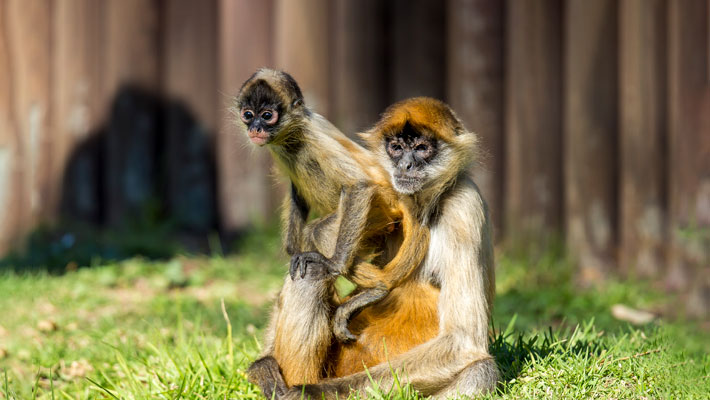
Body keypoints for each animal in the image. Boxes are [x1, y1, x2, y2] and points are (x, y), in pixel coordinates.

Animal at [235, 69, 431, 388]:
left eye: (267, 115)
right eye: (248, 114)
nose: (255, 127)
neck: (292, 137)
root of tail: (396, 192)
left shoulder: (314, 138)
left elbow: (358, 185)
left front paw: (334, 264)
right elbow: (297, 196)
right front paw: (292, 248)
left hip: (377, 211)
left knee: (321, 231)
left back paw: (375, 288)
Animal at [251, 97, 499, 399]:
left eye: (421, 148)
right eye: (396, 148)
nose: (405, 165)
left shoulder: (464, 202)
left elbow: (463, 340)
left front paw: (309, 393)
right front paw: (264, 364)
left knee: (482, 370)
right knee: (308, 267)